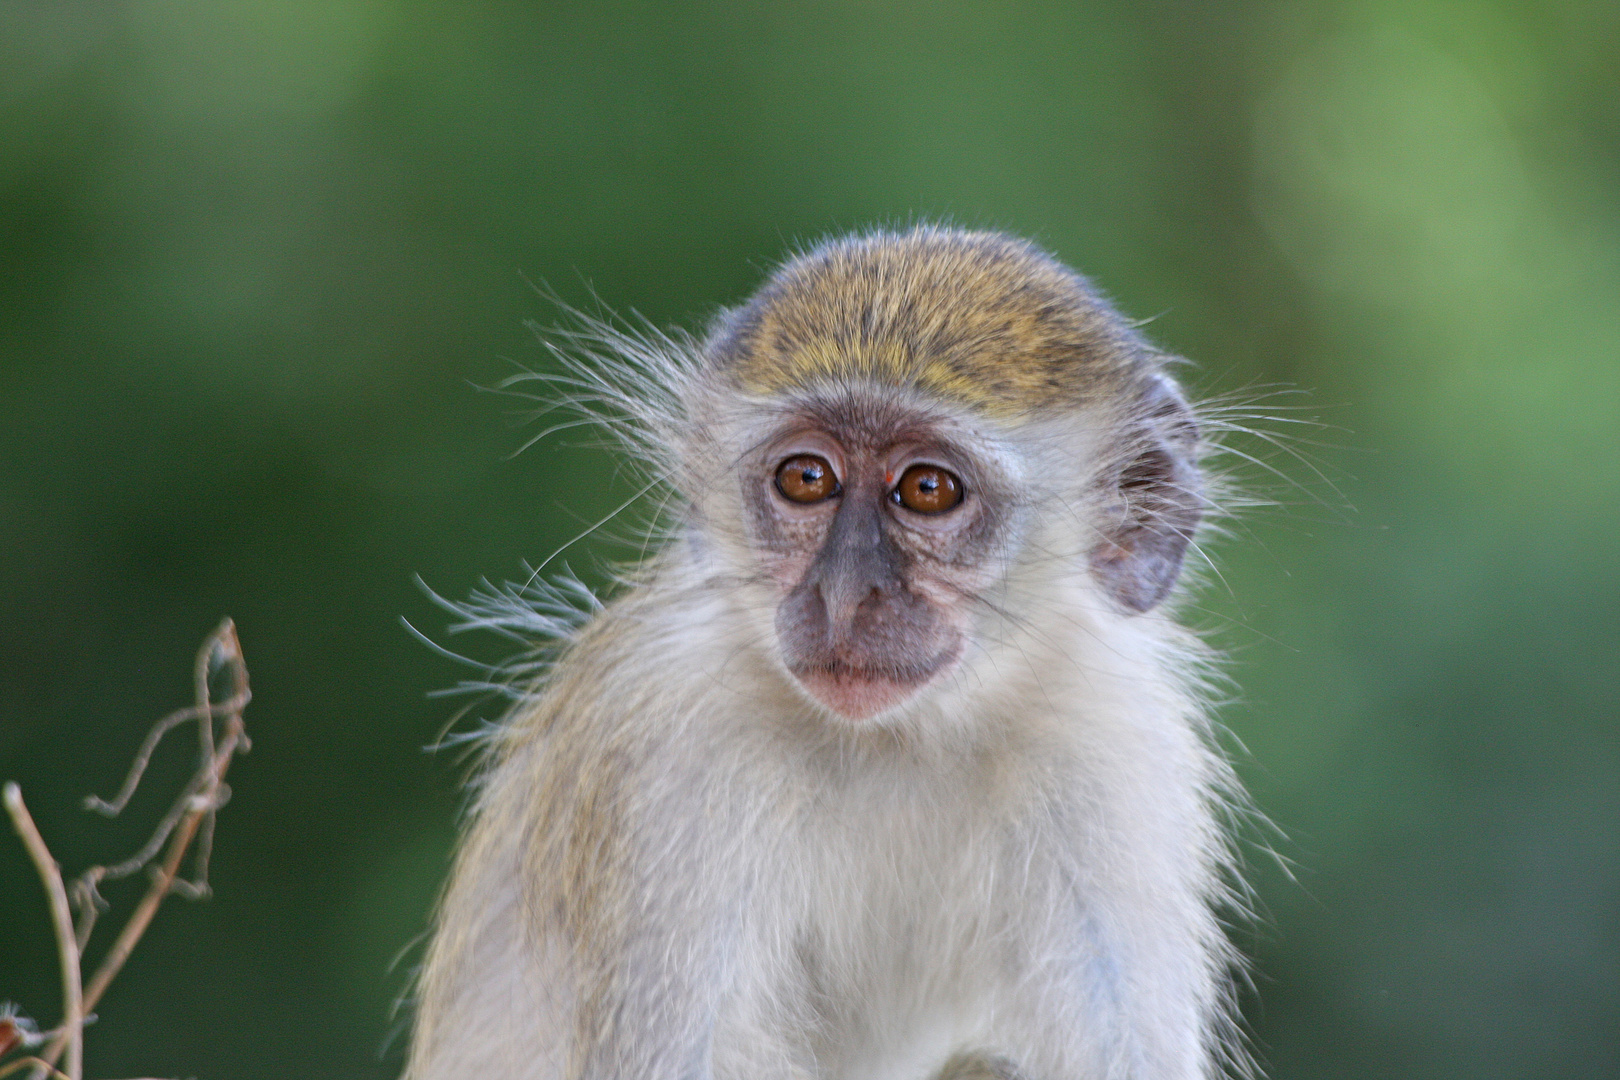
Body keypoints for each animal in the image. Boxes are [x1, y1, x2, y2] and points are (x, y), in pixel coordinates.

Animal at [405, 223, 1250, 1075]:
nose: (845, 594)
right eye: (807, 478)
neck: (902, 744)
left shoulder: (1114, 753)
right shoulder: (667, 752)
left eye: (928, 490)